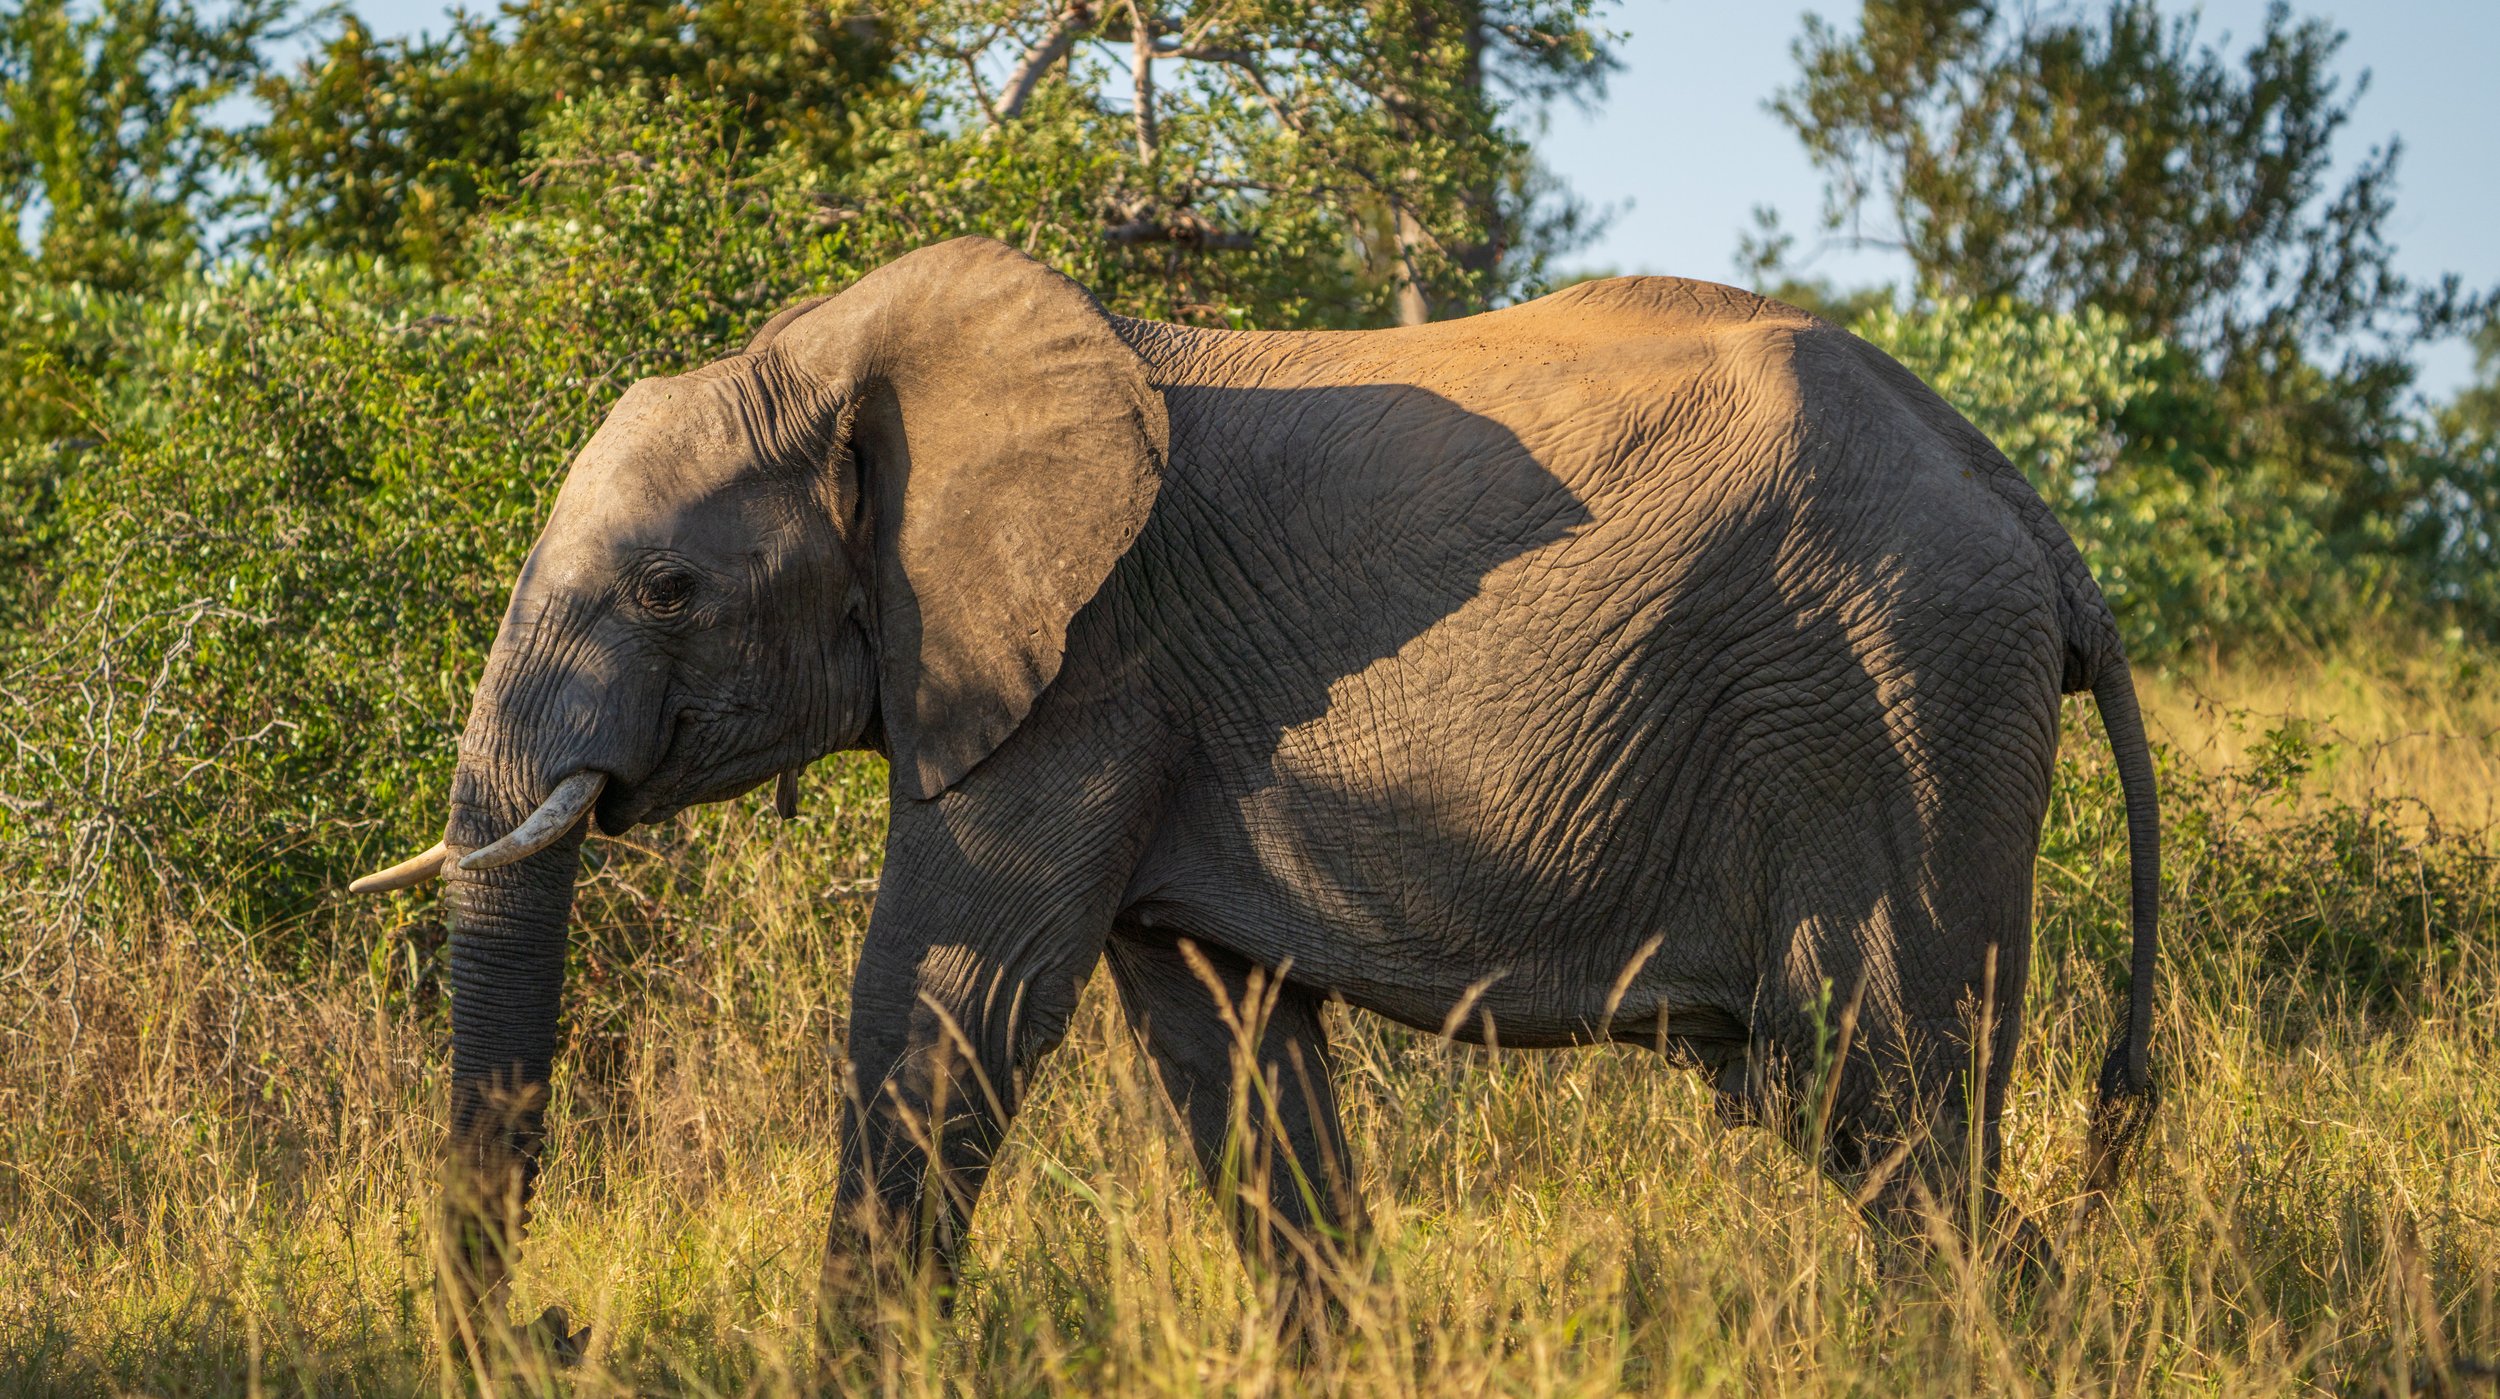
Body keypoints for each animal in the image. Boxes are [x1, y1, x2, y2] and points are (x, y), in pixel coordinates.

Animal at [352, 236, 2159, 1357]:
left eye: (667, 589)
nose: (551, 1327)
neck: (838, 348)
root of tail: (2039, 517)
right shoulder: (1159, 721)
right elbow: (1223, 1038)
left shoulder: (1088, 674)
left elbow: (950, 1000)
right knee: (1841, 1104)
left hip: (1900, 706)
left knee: (1894, 1081)